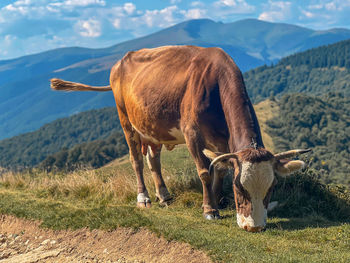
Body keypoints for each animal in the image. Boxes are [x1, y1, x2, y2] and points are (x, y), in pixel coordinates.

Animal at [50, 46, 310, 233]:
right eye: (239, 188)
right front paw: (209, 209)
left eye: (271, 187)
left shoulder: (222, 141)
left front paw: (217, 200)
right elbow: (205, 171)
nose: (254, 227)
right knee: (136, 160)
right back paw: (144, 197)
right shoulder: (192, 133)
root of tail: (120, 61)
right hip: (126, 121)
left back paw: (164, 195)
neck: (215, 86)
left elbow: (220, 169)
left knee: (153, 161)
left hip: (153, 128)